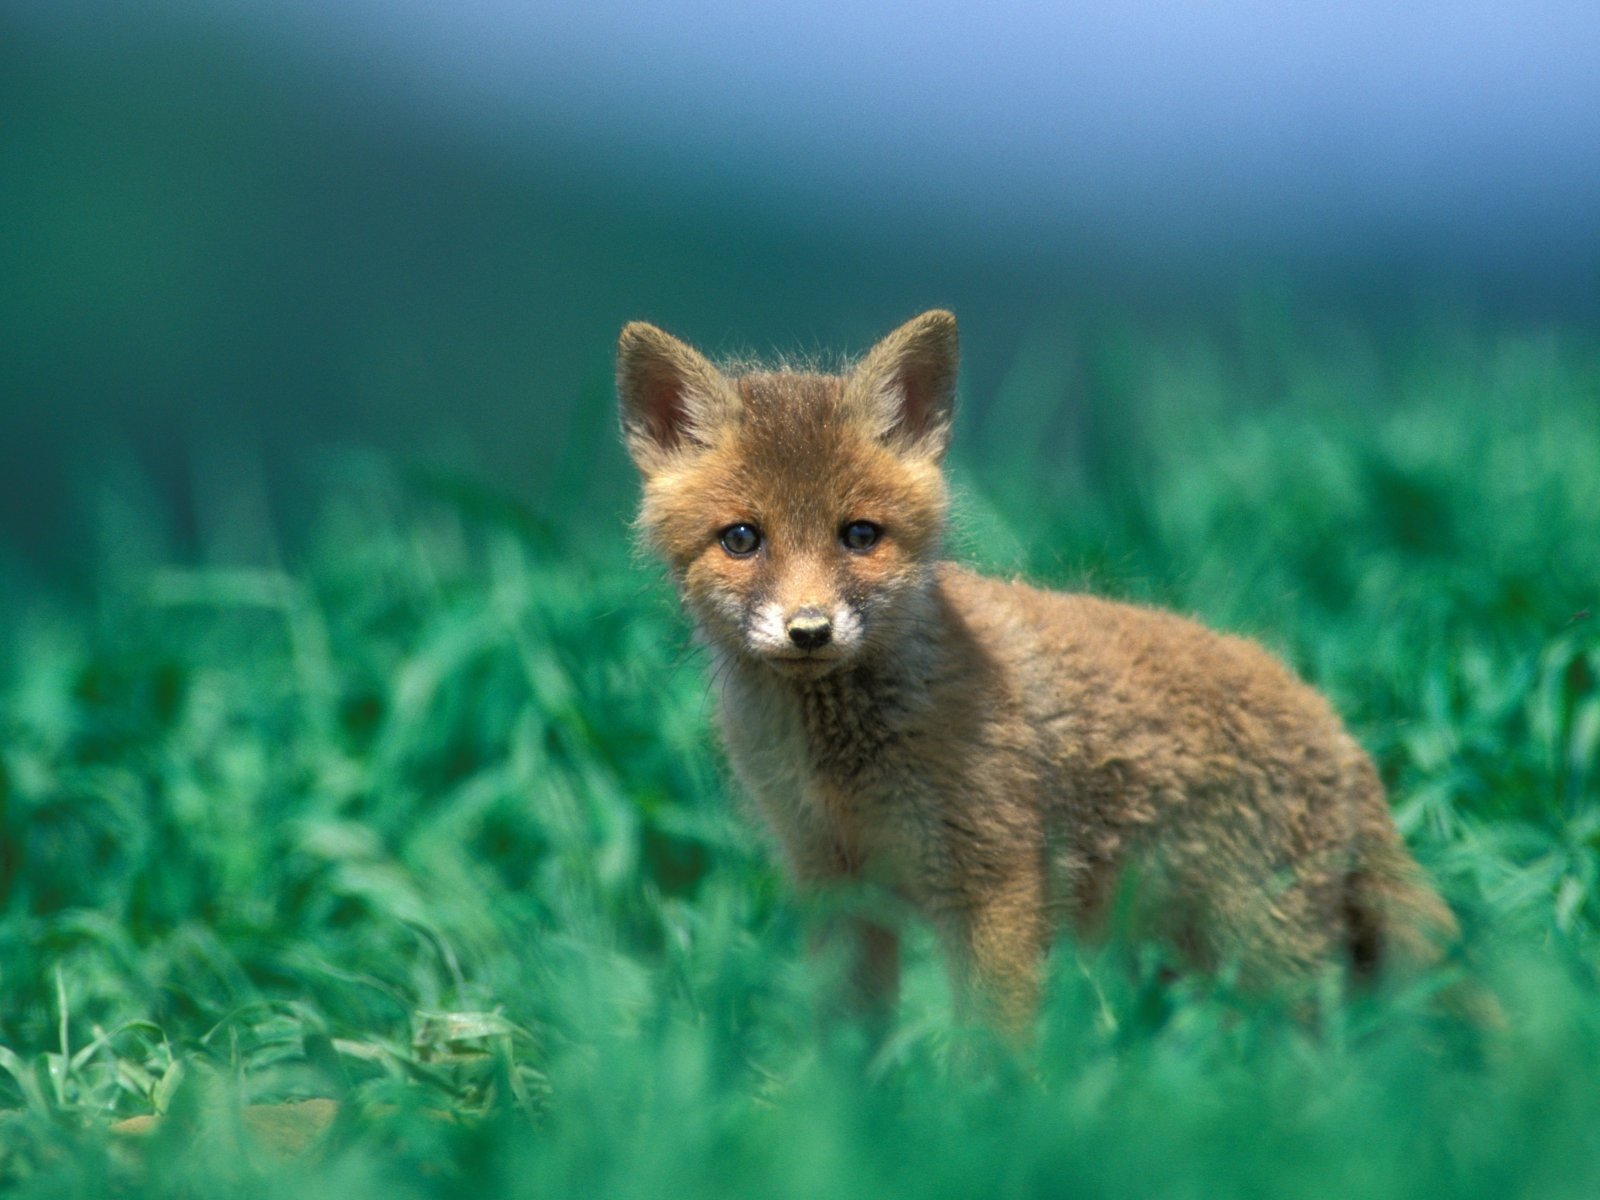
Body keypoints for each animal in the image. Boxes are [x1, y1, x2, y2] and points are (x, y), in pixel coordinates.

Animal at [614, 315, 1465, 1036]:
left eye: (859, 535)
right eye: (742, 539)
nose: (809, 630)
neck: (846, 767)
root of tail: (1340, 731)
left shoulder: (999, 882)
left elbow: (995, 1047)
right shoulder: (837, 884)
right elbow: (848, 1045)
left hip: (1267, 958)